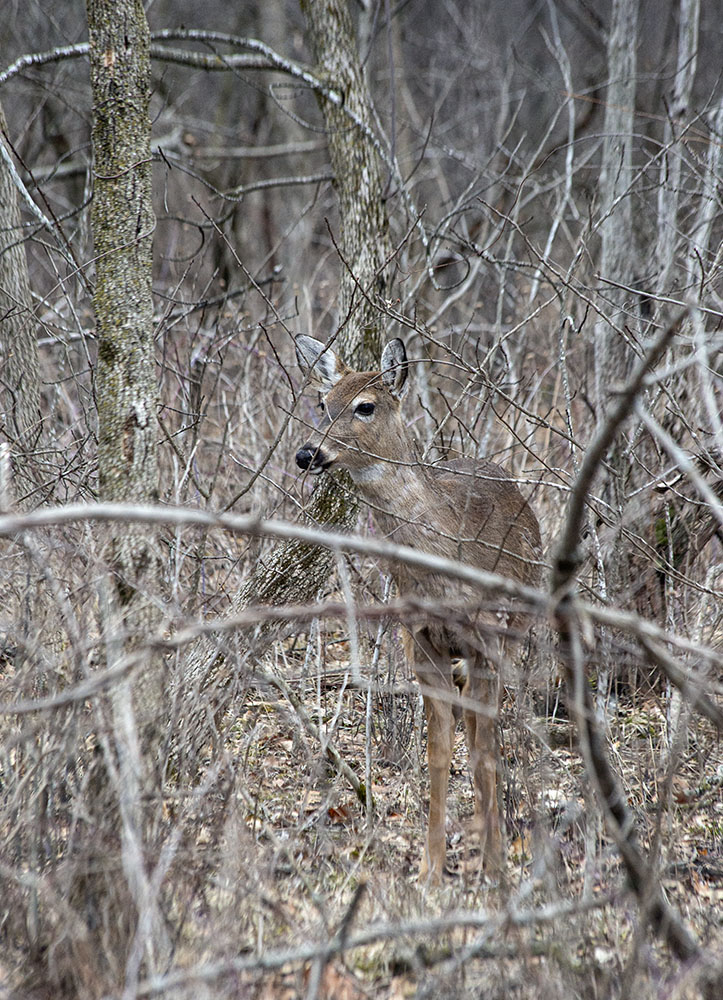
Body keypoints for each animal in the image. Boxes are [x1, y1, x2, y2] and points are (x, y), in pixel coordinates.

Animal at [296, 336, 544, 884]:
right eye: (322, 401)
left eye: (365, 406)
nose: (307, 453)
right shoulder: (421, 643)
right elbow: (438, 753)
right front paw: (432, 868)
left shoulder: (487, 637)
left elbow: (484, 754)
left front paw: (495, 867)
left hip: (513, 632)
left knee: (486, 736)